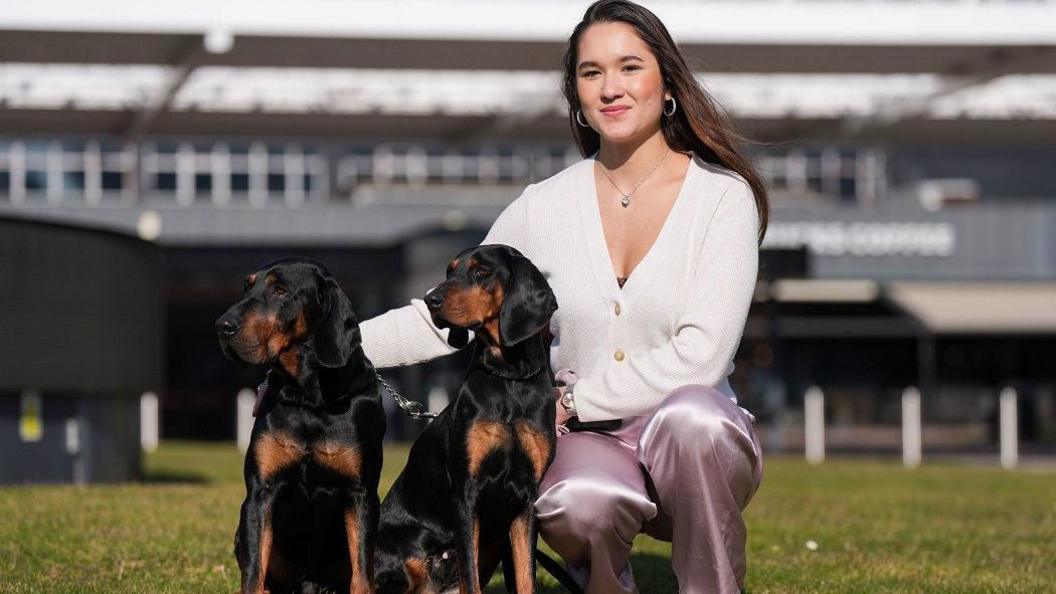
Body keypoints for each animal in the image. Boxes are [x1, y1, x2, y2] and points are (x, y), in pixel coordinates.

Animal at [214, 257, 384, 591]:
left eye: (280, 291)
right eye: (246, 286)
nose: (222, 326)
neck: (308, 399)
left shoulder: (361, 494)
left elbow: (361, 575)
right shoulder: (260, 493)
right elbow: (253, 572)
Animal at [378, 244, 561, 591]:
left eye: (481, 272)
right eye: (450, 271)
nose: (431, 299)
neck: (509, 378)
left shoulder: (526, 501)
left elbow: (525, 578)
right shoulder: (466, 494)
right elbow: (471, 578)